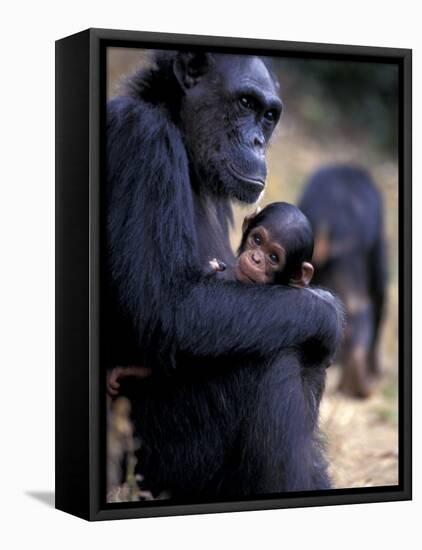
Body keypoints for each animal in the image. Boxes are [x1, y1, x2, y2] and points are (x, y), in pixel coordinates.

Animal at [104, 51, 342, 500]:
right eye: (245, 103)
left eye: (269, 116)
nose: (257, 141)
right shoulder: (144, 141)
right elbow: (170, 309)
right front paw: (328, 311)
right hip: (151, 462)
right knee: (276, 356)